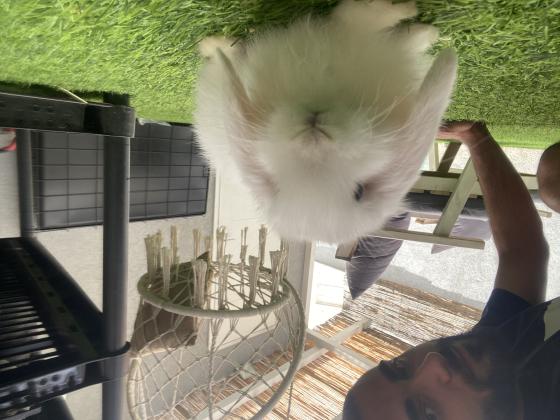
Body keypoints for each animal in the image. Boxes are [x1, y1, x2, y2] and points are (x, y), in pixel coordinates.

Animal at [194, 0, 457, 244]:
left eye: (359, 192)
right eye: (280, 183)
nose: (314, 138)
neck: (322, 96)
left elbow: (387, 25)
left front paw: (423, 27)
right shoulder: (351, 28)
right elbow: (368, 14)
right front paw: (417, 19)